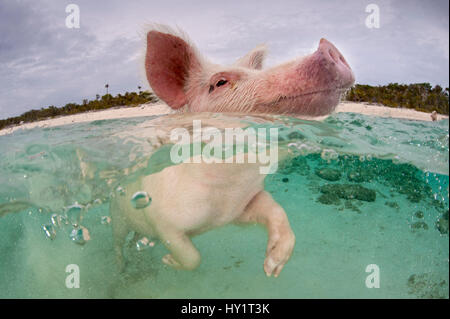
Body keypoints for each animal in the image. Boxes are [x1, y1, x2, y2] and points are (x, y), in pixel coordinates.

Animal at [110, 26, 356, 278]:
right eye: (220, 82)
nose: (326, 45)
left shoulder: (242, 206)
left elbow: (275, 210)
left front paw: (272, 268)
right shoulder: (165, 221)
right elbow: (192, 257)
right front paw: (167, 261)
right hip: (117, 214)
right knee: (118, 243)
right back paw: (121, 269)